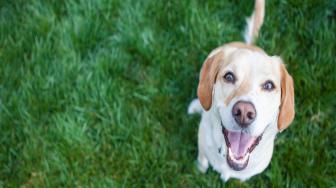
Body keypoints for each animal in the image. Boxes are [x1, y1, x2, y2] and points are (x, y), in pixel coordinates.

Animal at [188, 0, 296, 181]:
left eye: (269, 85)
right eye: (229, 76)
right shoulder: (202, 144)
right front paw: (199, 169)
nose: (244, 112)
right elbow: (202, 161)